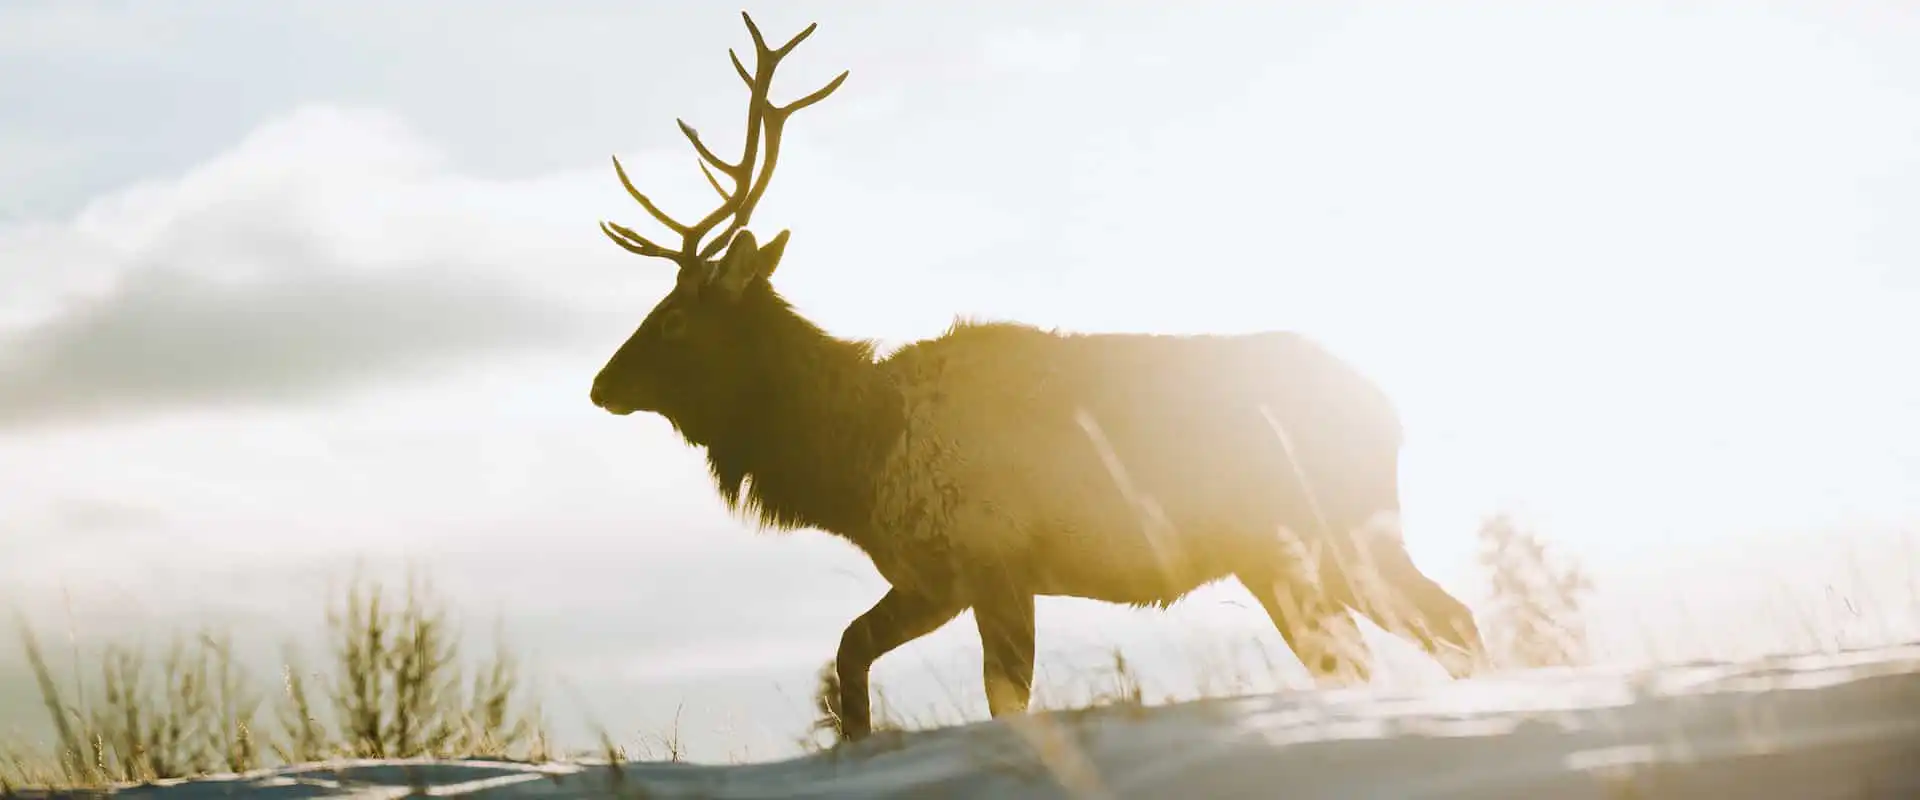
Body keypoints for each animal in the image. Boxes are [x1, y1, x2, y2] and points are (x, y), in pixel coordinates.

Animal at [588, 13, 1485, 742]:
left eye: (675, 319)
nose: (600, 386)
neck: (859, 460)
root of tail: (1389, 410)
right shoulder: (934, 578)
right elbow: (851, 656)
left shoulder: (993, 559)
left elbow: (1002, 697)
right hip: (1281, 560)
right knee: (1371, 654)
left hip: (1337, 533)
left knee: (1453, 622)